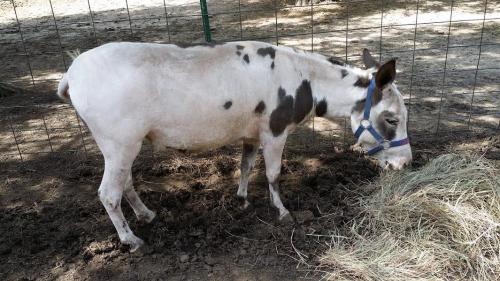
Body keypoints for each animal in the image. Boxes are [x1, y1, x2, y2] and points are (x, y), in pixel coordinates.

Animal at [56, 40, 412, 250]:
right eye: (391, 118)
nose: (406, 163)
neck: (305, 80)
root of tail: (72, 72)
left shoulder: (251, 134)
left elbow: (246, 165)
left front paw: (242, 199)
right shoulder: (275, 132)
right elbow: (273, 174)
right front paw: (283, 212)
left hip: (122, 145)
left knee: (125, 183)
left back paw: (148, 215)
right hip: (118, 143)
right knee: (108, 193)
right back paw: (131, 240)